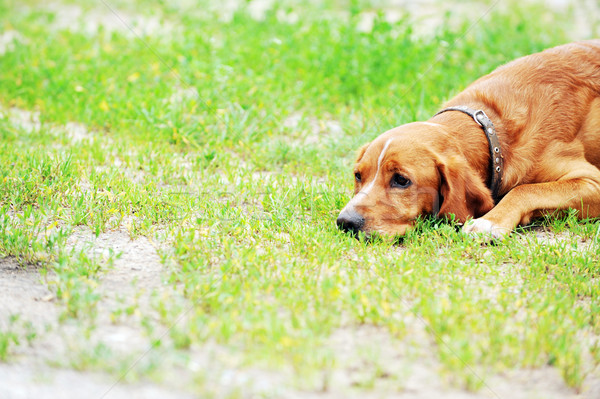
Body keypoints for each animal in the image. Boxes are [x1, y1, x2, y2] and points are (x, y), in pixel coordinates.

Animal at [338, 41, 600, 239]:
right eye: (358, 176)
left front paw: (490, 221)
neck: (494, 131)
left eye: (401, 180)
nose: (345, 221)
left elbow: (525, 190)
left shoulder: (592, 181)